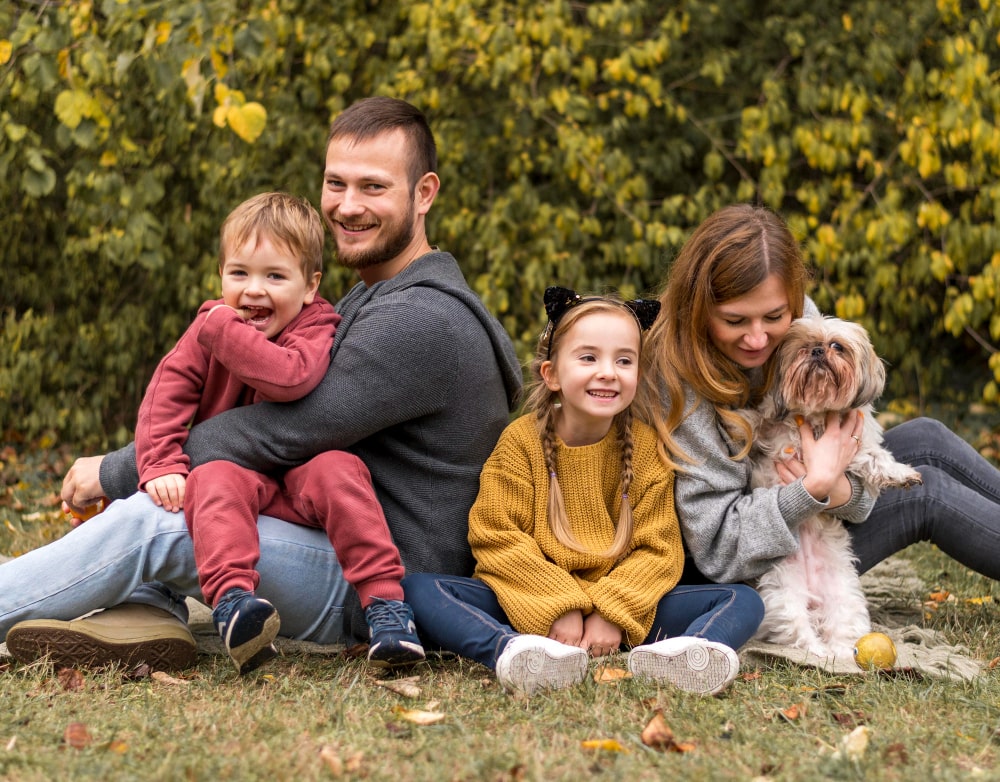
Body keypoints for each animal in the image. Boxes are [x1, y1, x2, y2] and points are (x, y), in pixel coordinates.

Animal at [744, 316, 920, 660]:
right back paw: (818, 652)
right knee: (799, 634)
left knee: (844, 630)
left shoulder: (855, 441)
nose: (816, 351)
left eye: (837, 346)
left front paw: (898, 472)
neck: (820, 414)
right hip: (783, 592)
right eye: (803, 346)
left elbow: (872, 455)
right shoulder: (791, 442)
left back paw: (842, 653)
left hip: (845, 597)